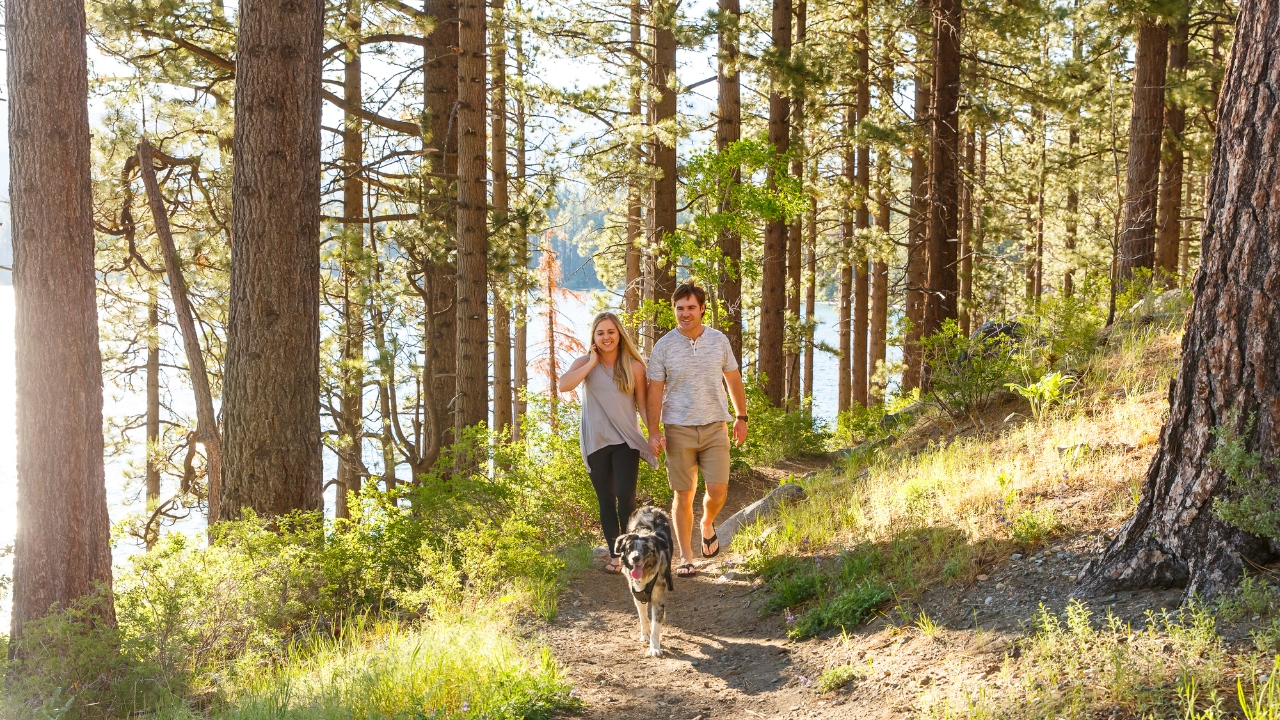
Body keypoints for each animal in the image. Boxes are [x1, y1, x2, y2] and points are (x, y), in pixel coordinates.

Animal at [611, 504, 675, 655]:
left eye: (646, 548)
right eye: (629, 547)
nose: (635, 558)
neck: (645, 576)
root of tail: (649, 507)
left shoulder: (658, 599)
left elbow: (656, 627)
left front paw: (655, 647)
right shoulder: (638, 596)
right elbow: (644, 618)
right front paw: (645, 635)